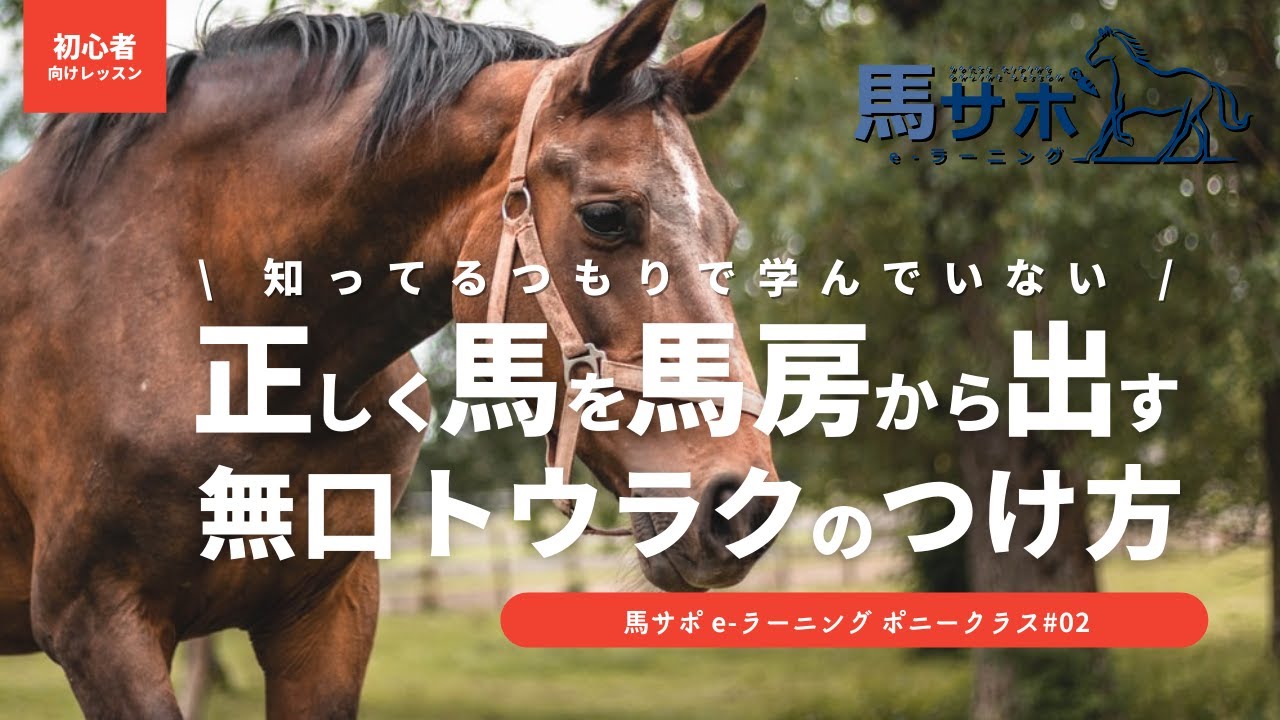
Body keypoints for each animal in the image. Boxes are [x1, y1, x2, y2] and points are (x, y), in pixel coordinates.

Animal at [1083, 25, 1251, 162]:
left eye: (1100, 43)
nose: (1089, 59)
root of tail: (1209, 82)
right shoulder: (1119, 108)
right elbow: (1109, 124)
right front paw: (1094, 153)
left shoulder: (1125, 107)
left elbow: (1114, 122)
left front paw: (1124, 139)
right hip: (1195, 112)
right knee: (1201, 131)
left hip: (1188, 110)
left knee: (1183, 132)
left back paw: (1162, 156)